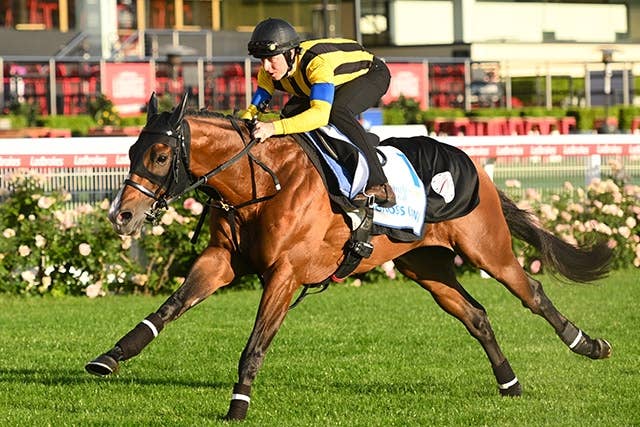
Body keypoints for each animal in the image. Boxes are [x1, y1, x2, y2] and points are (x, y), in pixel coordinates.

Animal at [85, 93, 612, 421]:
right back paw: (509, 383)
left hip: (487, 249)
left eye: (159, 156)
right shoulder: (221, 260)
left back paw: (587, 344)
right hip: (426, 265)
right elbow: (167, 309)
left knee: (532, 292)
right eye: (130, 151)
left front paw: (238, 404)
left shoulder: (285, 273)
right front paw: (109, 357)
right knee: (475, 315)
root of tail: (473, 163)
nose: (122, 215)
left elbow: (255, 343)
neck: (262, 184)